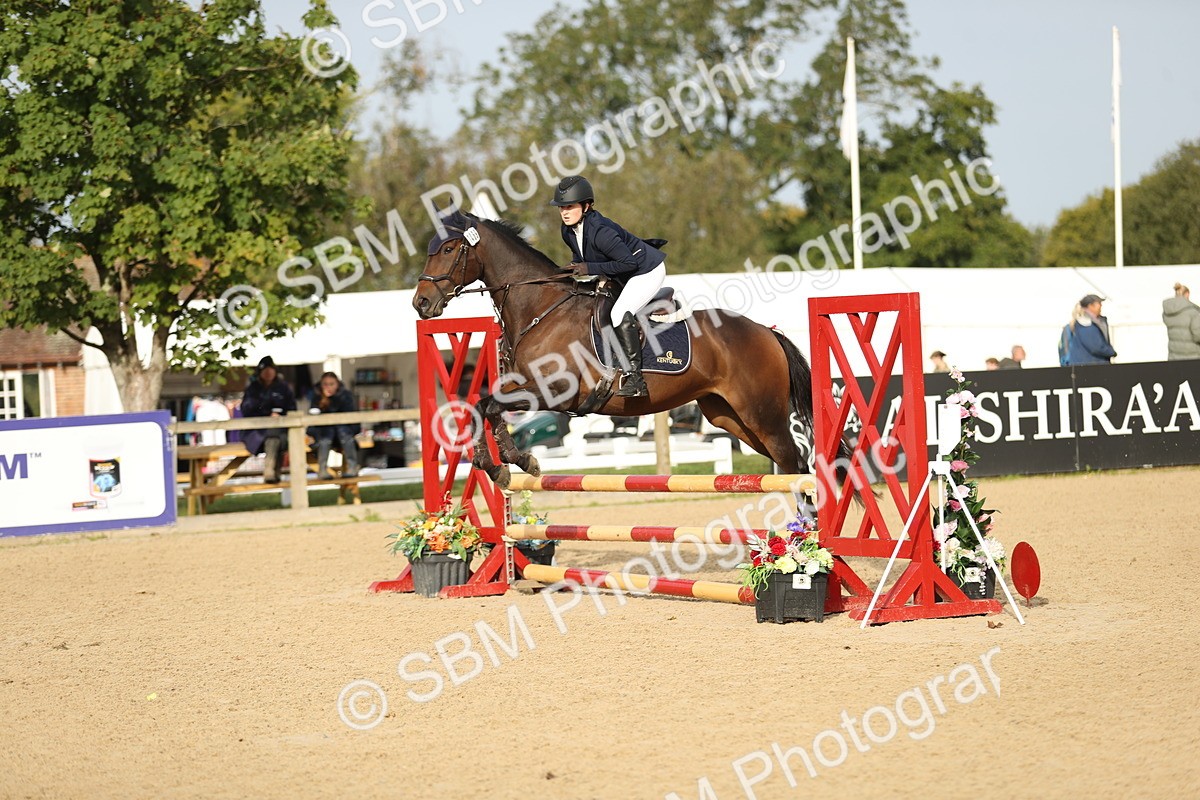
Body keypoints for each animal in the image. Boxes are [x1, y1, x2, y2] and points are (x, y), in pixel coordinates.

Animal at [413, 210, 851, 490]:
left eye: (449, 250)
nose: (421, 303)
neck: (542, 308)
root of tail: (767, 332)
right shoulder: (523, 386)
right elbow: (484, 406)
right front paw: (509, 465)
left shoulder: (555, 392)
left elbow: (488, 407)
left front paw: (509, 464)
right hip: (731, 417)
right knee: (787, 461)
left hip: (762, 414)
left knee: (795, 464)